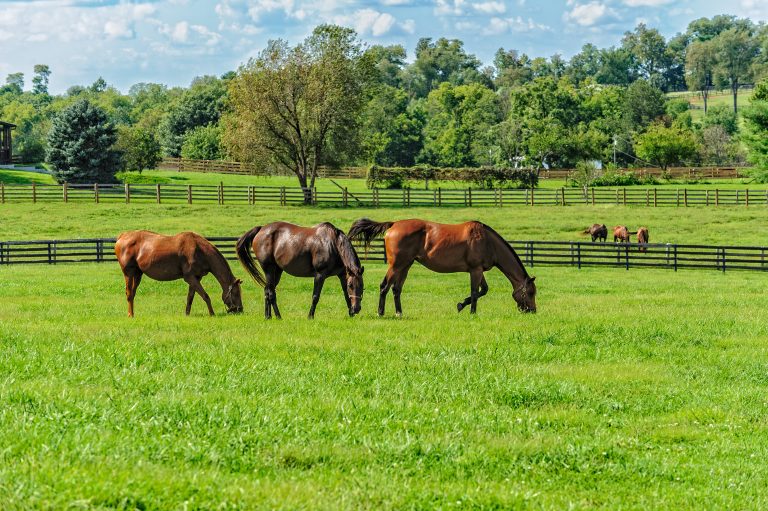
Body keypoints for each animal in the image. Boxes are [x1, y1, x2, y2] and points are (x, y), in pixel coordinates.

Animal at [114, 231, 243, 316]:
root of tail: (122, 236)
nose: (240, 309)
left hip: (138, 274)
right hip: (129, 273)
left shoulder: (196, 278)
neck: (199, 250)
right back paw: (130, 315)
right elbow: (205, 296)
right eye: (236, 293)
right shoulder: (190, 277)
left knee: (132, 294)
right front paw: (212, 313)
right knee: (129, 293)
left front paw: (187, 314)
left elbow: (190, 297)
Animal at [236, 221, 364, 318]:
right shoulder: (320, 275)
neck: (333, 244)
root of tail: (261, 229)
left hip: (277, 271)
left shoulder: (342, 275)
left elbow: (346, 295)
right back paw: (278, 316)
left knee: (267, 290)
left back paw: (268, 316)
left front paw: (350, 314)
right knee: (271, 293)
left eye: (362, 286)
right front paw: (310, 316)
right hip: (269, 269)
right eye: (351, 285)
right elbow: (315, 297)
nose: (357, 309)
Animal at [352, 217, 536, 316]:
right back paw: (380, 312)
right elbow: (475, 292)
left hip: (406, 265)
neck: (487, 241)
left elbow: (483, 290)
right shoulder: (475, 270)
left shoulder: (478, 270)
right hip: (396, 265)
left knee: (396, 289)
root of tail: (393, 224)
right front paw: (471, 311)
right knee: (384, 286)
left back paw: (399, 313)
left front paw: (461, 305)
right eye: (531, 293)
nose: (532, 310)